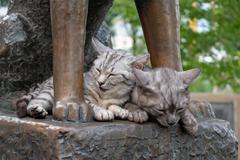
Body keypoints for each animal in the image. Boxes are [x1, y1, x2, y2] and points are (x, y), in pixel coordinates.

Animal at [15, 38, 149, 121]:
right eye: (98, 70)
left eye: (111, 75)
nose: (100, 82)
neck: (105, 96)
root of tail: (43, 83)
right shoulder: (83, 98)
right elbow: (92, 105)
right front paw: (102, 111)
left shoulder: (120, 100)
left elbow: (118, 105)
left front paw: (125, 111)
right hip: (49, 93)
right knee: (34, 102)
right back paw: (36, 110)